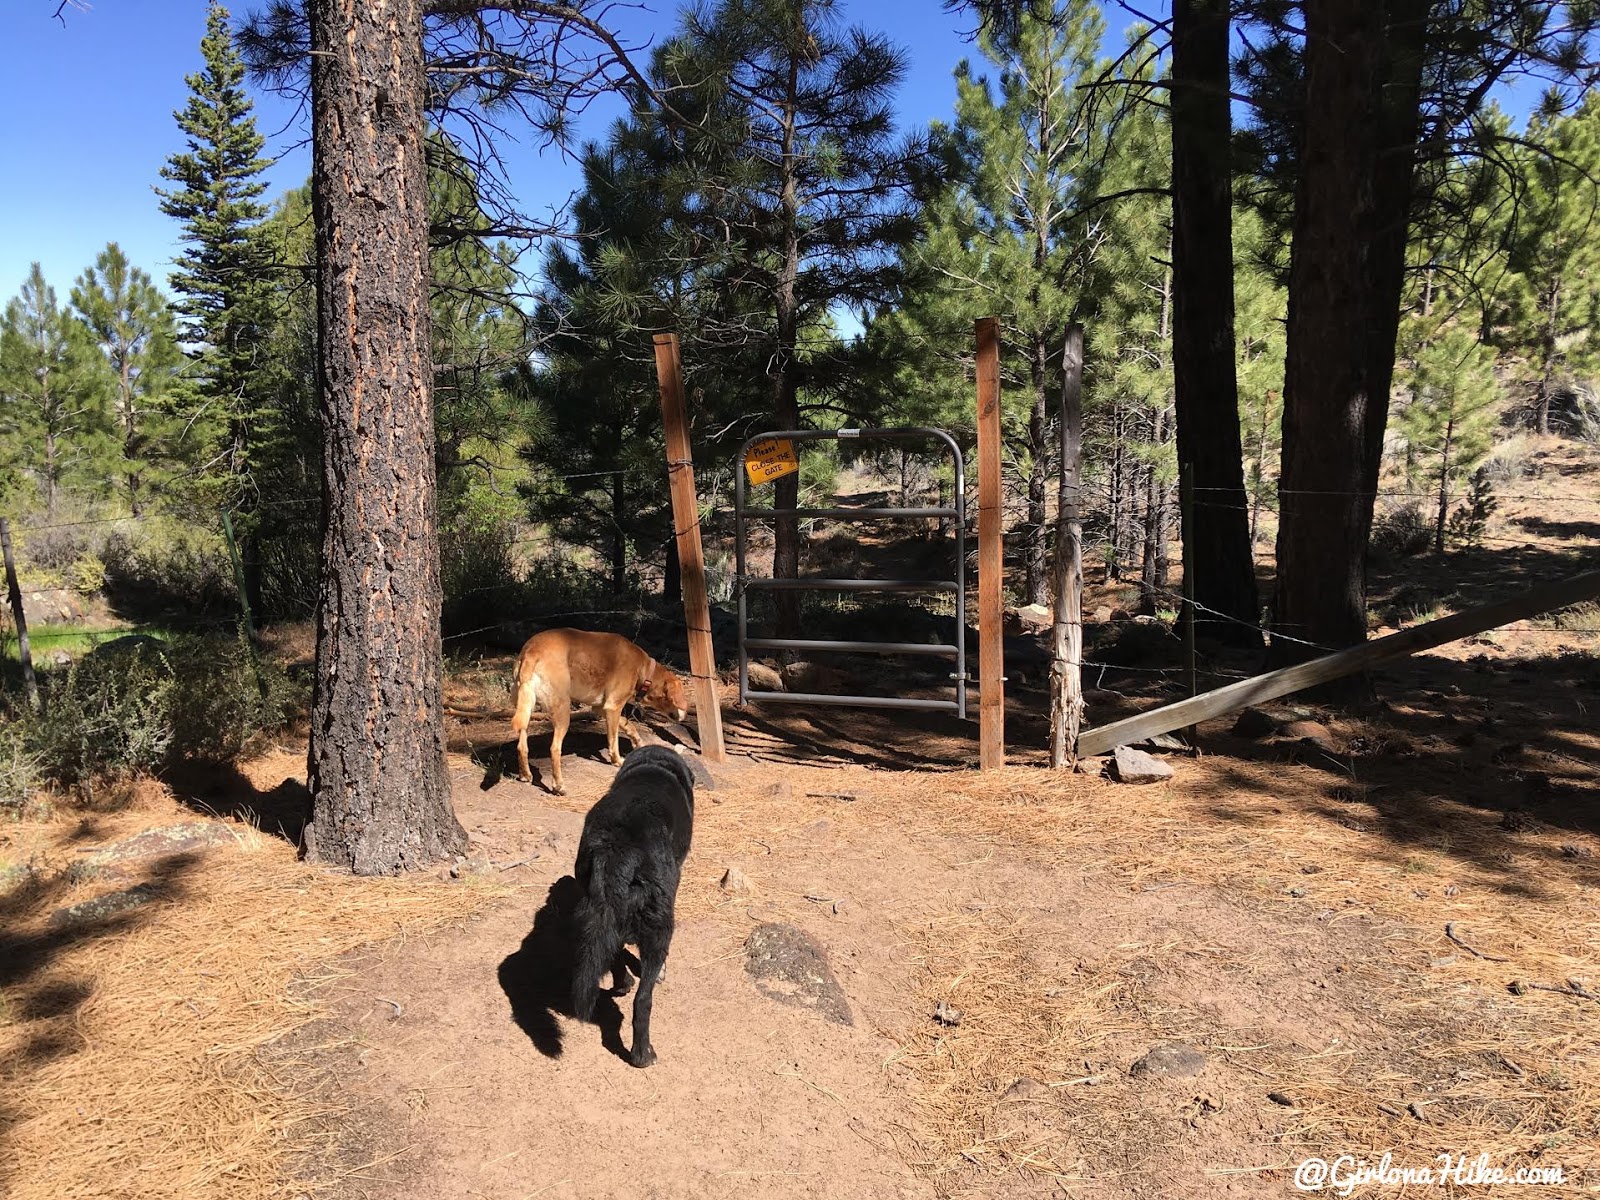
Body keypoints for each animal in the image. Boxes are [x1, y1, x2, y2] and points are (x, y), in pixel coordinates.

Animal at [569, 742, 694, 1068]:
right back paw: (642, 1055)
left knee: (613, 951)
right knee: (643, 1000)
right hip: (660, 926)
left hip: (596, 909)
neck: (653, 765)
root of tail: (618, 846)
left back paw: (622, 982)